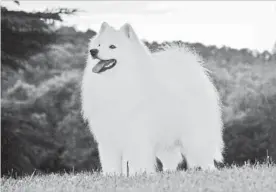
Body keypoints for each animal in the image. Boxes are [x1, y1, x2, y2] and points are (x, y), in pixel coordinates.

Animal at [80, 22, 224, 176]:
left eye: (112, 46)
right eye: (99, 45)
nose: (93, 51)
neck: (117, 81)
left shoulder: (136, 135)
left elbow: (135, 160)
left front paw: (136, 174)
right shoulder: (108, 138)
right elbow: (111, 162)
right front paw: (112, 176)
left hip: (195, 133)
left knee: (204, 152)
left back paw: (209, 169)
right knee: (171, 158)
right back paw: (168, 172)